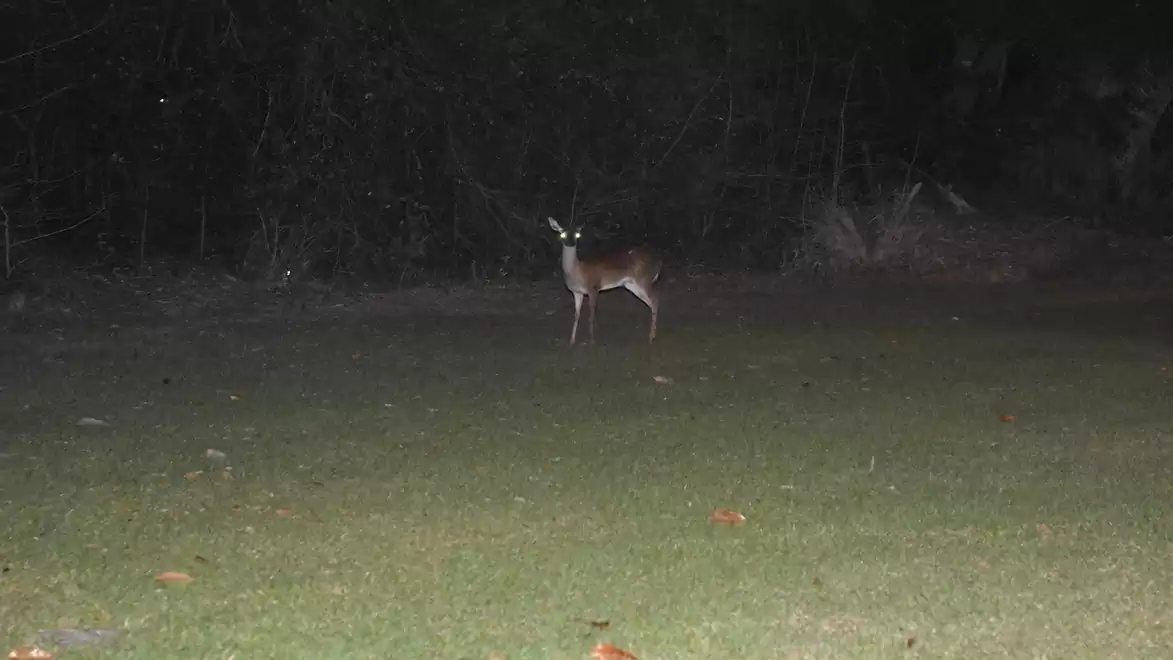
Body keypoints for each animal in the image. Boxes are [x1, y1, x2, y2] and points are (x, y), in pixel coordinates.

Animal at [547, 217, 662, 346]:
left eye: (577, 234)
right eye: (562, 234)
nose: (571, 243)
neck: (576, 272)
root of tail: (658, 261)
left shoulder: (593, 288)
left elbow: (591, 316)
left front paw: (592, 340)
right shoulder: (577, 292)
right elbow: (576, 315)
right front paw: (571, 341)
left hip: (643, 279)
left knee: (655, 300)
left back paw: (651, 338)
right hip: (631, 285)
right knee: (651, 303)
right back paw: (652, 335)